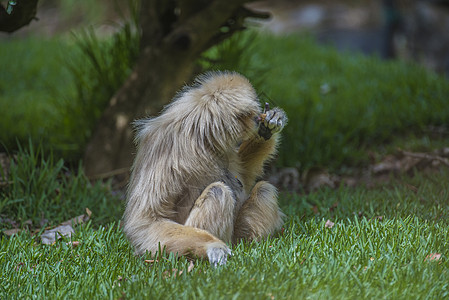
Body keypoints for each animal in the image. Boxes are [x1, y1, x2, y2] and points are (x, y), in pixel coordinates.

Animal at [122, 71, 288, 266]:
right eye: (250, 115)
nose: (257, 120)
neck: (200, 136)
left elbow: (245, 178)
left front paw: (268, 126)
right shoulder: (165, 145)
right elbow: (146, 222)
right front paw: (212, 246)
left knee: (264, 190)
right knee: (218, 191)